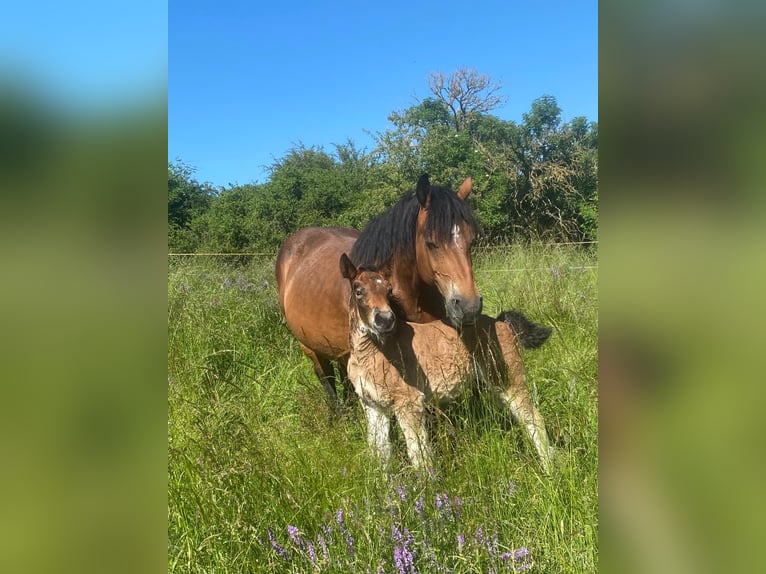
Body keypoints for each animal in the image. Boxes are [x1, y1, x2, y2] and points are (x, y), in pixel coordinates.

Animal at [344, 254, 560, 474]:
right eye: (358, 290)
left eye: (389, 291)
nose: (385, 320)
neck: (371, 352)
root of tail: (502, 323)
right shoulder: (373, 406)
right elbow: (380, 452)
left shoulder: (409, 401)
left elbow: (419, 454)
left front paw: (427, 483)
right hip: (495, 385)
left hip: (510, 380)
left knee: (533, 417)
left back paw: (549, 469)